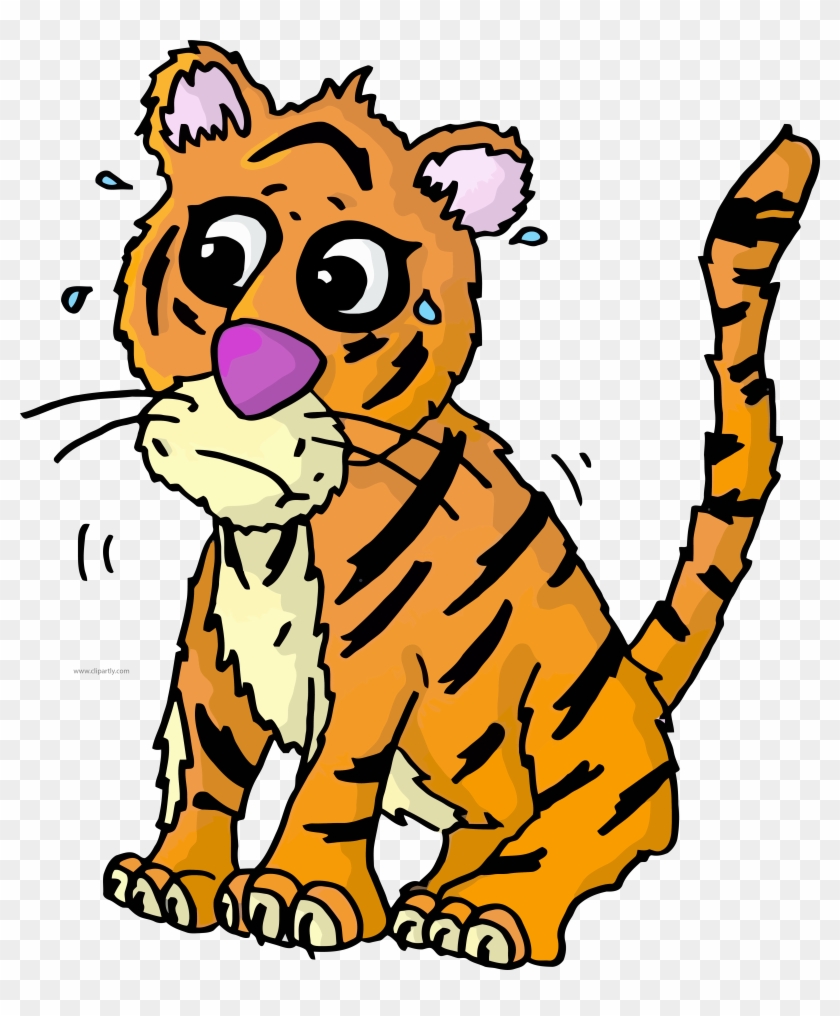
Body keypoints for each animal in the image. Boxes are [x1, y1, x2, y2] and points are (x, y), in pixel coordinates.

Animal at [43, 42, 817, 967]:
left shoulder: (374, 673)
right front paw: (173, 879)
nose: (251, 379)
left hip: (595, 764)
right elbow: (207, 767)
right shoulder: (214, 655)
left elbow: (331, 784)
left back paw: (483, 913)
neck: (275, 540)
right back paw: (436, 899)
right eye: (218, 257)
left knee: (568, 841)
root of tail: (636, 684)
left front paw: (296, 894)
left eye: (346, 281)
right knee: (490, 830)